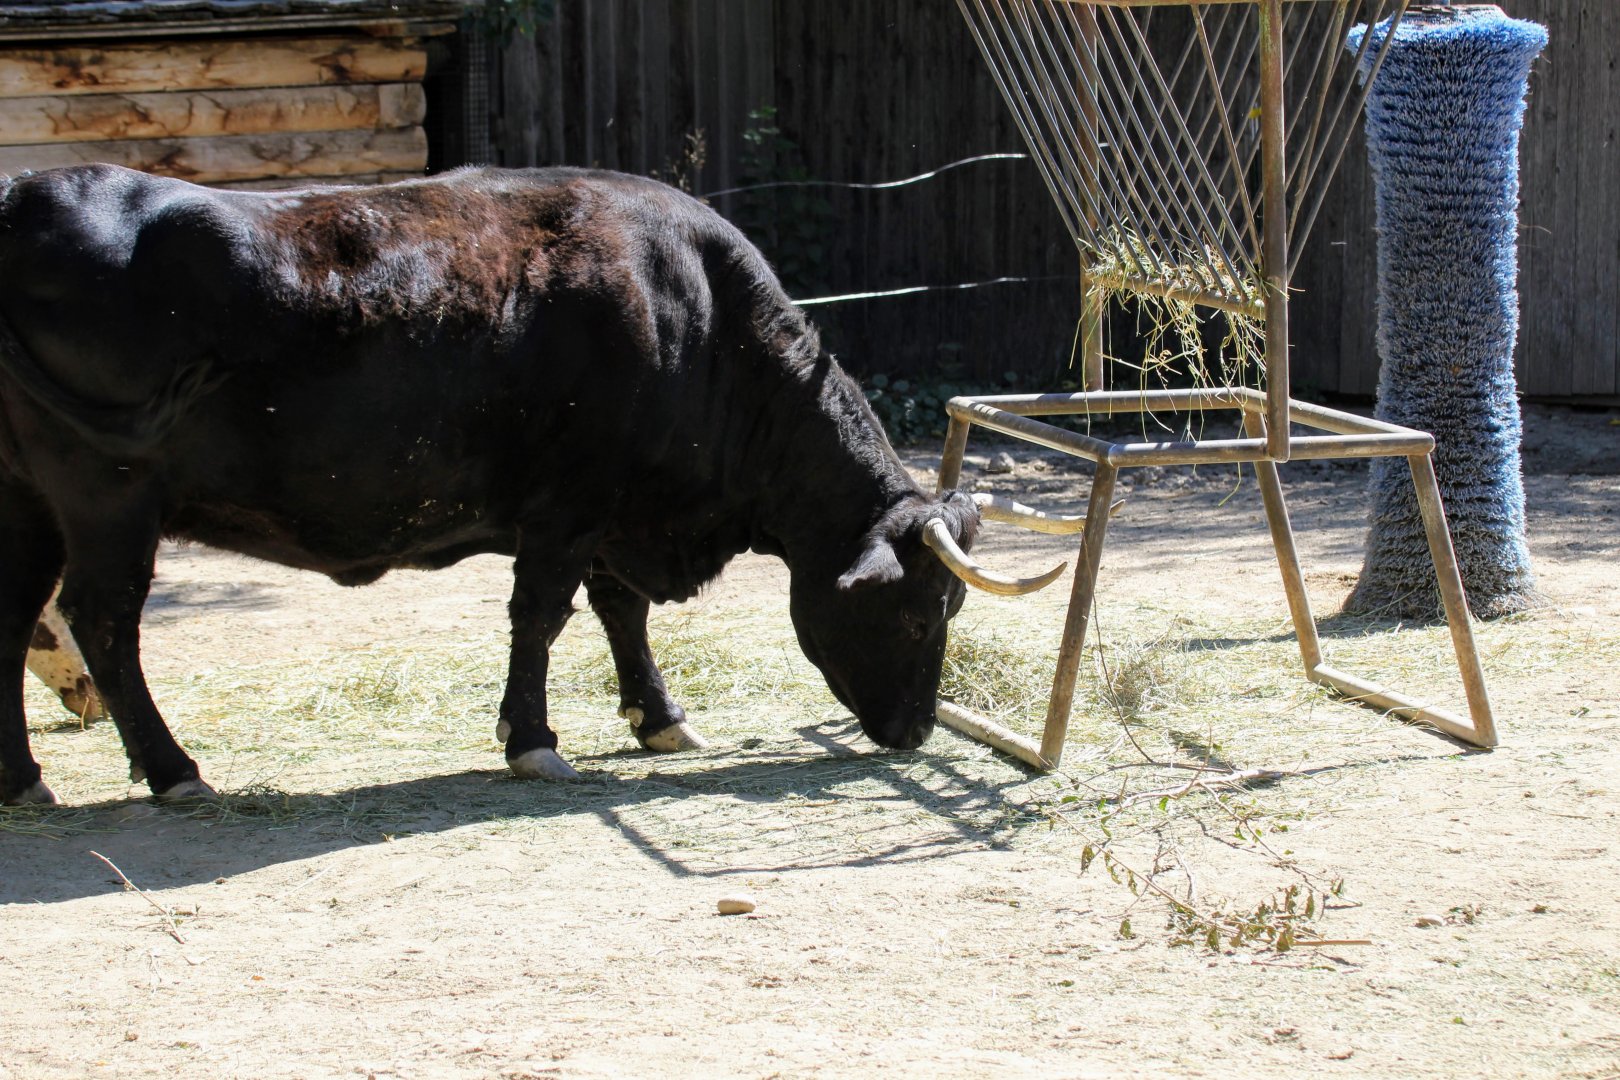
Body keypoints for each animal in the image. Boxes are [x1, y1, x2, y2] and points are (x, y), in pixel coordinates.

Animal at [0, 164, 1060, 806]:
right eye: (919, 618)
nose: (915, 730)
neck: (694, 317)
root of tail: (27, 194)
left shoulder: (616, 516)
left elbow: (622, 611)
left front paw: (659, 718)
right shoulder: (571, 507)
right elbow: (544, 616)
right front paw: (534, 739)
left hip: (29, 501)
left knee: (17, 620)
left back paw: (24, 778)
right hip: (106, 494)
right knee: (103, 622)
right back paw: (173, 769)